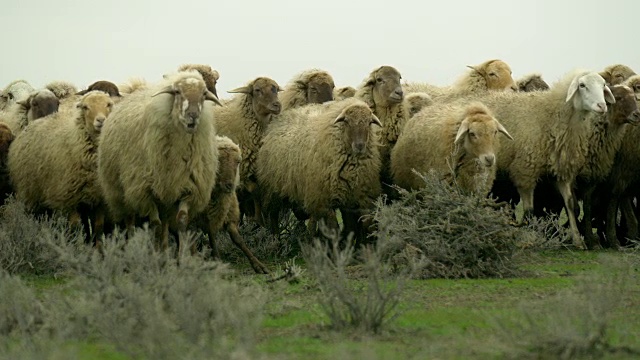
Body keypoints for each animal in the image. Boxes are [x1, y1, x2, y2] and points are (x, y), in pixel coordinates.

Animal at [6, 91, 115, 245]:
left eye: (108, 104)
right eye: (85, 107)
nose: (101, 120)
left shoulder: (100, 200)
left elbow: (98, 229)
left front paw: (98, 250)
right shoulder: (67, 199)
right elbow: (75, 229)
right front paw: (78, 248)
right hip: (29, 194)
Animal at [214, 75, 282, 222]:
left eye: (276, 88)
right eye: (257, 90)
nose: (277, 105)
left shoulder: (257, 171)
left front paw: (260, 219)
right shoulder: (243, 172)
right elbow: (254, 191)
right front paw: (255, 219)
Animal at [258, 97, 382, 243]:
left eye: (369, 122)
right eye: (346, 121)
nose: (360, 146)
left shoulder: (356, 199)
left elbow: (359, 227)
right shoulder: (324, 202)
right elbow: (335, 230)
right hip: (273, 189)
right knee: (273, 215)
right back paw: (276, 240)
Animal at [464, 70, 616, 250]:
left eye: (603, 85)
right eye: (582, 85)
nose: (602, 106)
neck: (552, 114)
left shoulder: (561, 169)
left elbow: (570, 204)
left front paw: (578, 241)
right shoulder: (525, 170)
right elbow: (529, 209)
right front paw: (528, 238)